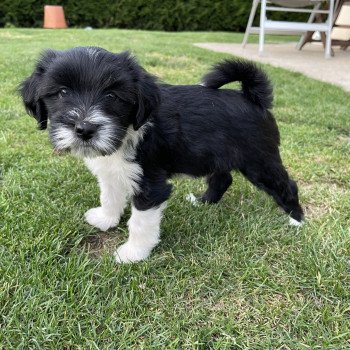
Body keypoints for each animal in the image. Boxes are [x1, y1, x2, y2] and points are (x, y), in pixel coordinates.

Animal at [19, 47, 304, 264]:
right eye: (62, 92)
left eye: (112, 96)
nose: (85, 129)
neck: (129, 129)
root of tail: (253, 98)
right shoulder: (112, 171)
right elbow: (110, 195)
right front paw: (105, 219)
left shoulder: (151, 184)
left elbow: (140, 222)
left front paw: (132, 253)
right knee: (223, 179)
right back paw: (204, 201)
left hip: (259, 160)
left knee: (286, 184)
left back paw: (296, 220)